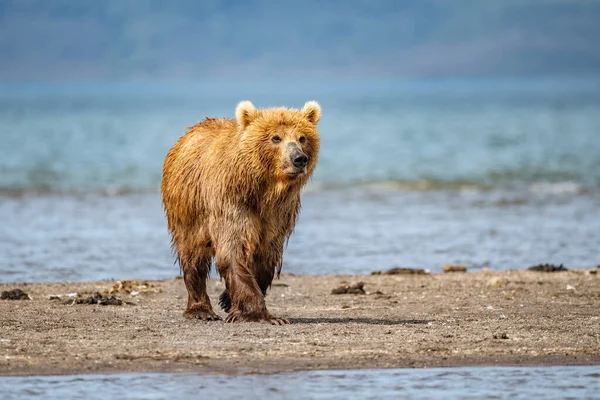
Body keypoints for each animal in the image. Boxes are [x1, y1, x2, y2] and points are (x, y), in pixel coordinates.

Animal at [158, 100, 318, 324]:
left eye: (302, 137)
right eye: (275, 137)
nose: (299, 158)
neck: (262, 189)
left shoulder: (278, 211)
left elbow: (266, 252)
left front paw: (228, 300)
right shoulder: (230, 200)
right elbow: (232, 248)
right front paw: (260, 314)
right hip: (187, 207)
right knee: (193, 255)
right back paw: (201, 310)